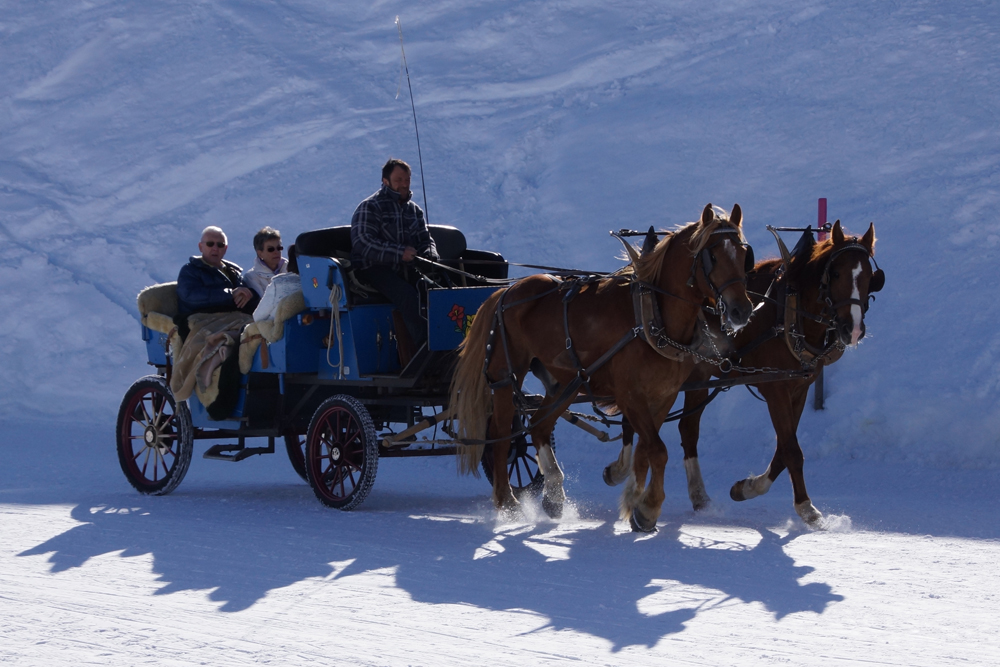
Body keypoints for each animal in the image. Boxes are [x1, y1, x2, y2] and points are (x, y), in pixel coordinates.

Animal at [452, 204, 752, 532]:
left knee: (540, 425)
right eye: (713, 255)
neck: (652, 315)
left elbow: (646, 451)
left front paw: (635, 501)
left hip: (565, 383)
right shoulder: (631, 395)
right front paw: (648, 509)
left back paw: (554, 495)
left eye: (743, 254)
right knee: (502, 435)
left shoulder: (663, 396)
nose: (742, 310)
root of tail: (504, 293)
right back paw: (507, 502)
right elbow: (658, 450)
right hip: (507, 376)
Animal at [600, 222, 884, 528]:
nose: (853, 329)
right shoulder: (776, 389)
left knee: (686, 430)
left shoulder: (799, 387)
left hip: (693, 380)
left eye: (869, 277)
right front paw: (806, 507)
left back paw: (696, 496)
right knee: (637, 423)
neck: (788, 310)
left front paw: (747, 488)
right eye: (836, 273)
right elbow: (791, 450)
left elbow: (783, 450)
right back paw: (622, 474)